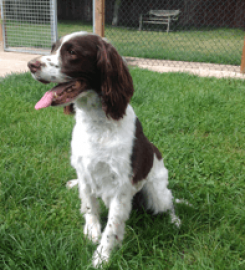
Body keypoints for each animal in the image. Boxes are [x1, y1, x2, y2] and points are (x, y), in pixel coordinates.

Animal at [27, 31, 183, 268]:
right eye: (53, 48)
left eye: (72, 52)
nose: (30, 65)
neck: (97, 123)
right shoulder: (84, 171)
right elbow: (90, 208)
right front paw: (91, 234)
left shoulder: (120, 186)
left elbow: (112, 227)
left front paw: (102, 258)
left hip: (156, 193)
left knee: (170, 202)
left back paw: (175, 220)